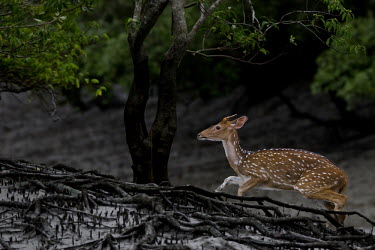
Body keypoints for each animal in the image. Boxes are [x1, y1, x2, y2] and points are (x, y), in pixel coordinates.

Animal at [197, 114, 350, 224]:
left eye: (217, 127)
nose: (199, 134)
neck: (241, 161)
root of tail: (344, 177)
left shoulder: (260, 175)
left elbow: (240, 190)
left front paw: (240, 209)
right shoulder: (246, 178)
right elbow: (229, 178)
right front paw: (217, 190)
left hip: (308, 184)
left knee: (342, 199)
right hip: (316, 191)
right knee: (332, 209)